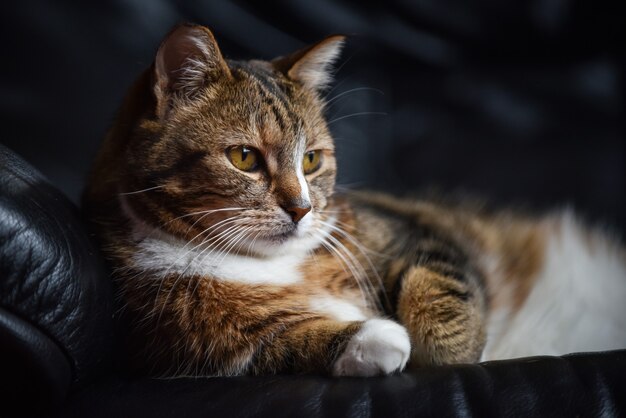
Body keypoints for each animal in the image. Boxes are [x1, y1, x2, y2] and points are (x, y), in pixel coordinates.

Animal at [83, 22, 624, 376]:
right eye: (243, 157)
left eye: (311, 161)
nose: (301, 208)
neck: (262, 263)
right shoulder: (189, 341)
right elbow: (279, 345)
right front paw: (374, 339)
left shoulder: (409, 228)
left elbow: (437, 281)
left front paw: (452, 352)